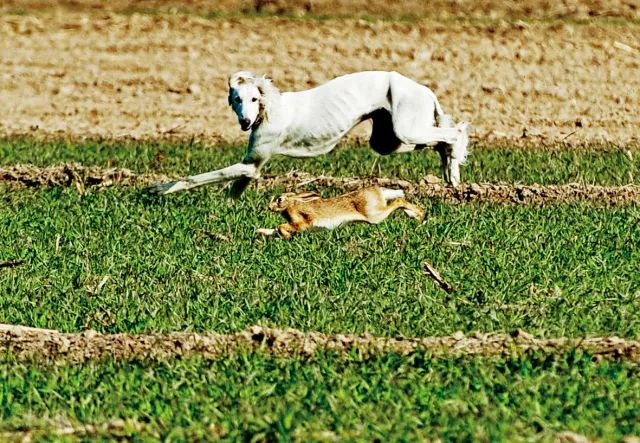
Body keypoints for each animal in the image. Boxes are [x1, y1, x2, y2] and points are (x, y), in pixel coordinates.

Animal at [150, 70, 470, 197]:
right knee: (439, 140)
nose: (245, 122)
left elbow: (196, 177)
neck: (270, 108)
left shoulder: (252, 163)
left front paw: (161, 188)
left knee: (454, 132)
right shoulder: (250, 166)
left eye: (253, 98)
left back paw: (454, 173)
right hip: (388, 139)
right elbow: (236, 187)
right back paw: (450, 176)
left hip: (405, 128)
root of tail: (425, 89)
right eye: (237, 99)